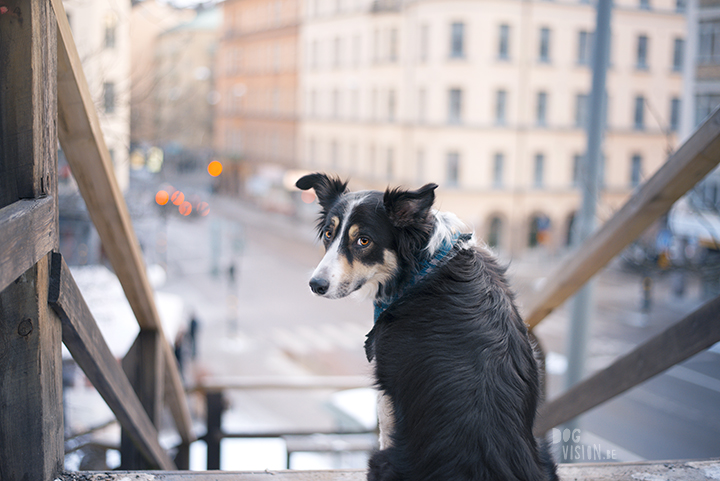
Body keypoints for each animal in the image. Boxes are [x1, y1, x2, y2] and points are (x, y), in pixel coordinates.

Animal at [296, 173, 560, 480]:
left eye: (363, 240)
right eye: (329, 234)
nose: (315, 285)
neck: (425, 265)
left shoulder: (387, 391)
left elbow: (385, 430)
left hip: (380, 460)